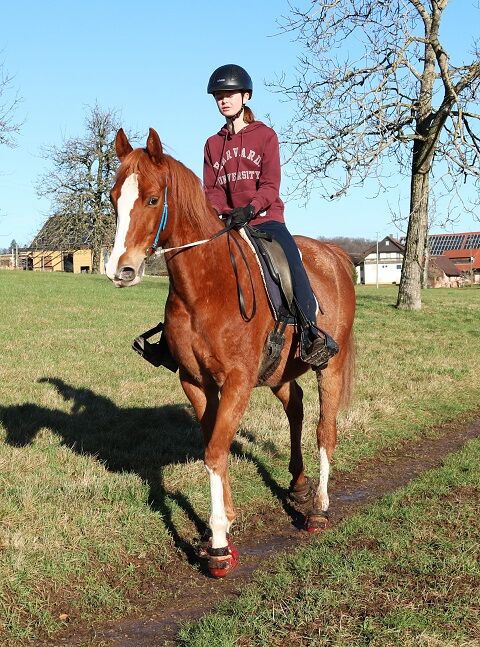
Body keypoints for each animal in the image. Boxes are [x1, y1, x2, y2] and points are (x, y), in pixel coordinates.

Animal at [107, 129, 358, 580]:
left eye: (152, 199)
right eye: (115, 196)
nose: (121, 270)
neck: (207, 286)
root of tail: (334, 256)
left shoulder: (237, 383)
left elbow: (215, 451)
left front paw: (220, 544)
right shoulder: (195, 383)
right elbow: (214, 448)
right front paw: (224, 521)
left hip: (330, 365)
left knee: (324, 430)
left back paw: (318, 508)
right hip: (278, 372)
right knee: (295, 408)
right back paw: (298, 485)